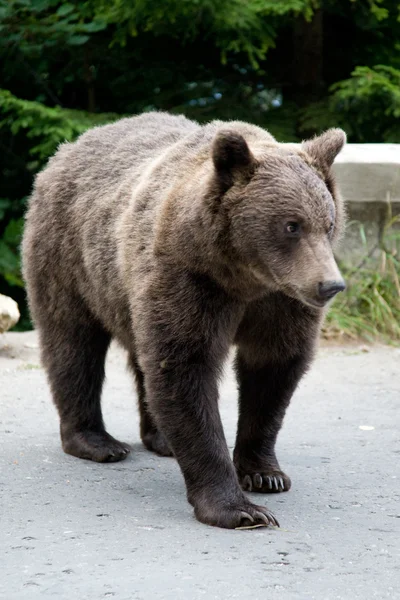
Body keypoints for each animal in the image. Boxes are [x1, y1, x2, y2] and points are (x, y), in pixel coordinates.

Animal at [22, 111, 346, 528]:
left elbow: (273, 370)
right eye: (291, 225)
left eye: (328, 222)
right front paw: (239, 509)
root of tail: (69, 147)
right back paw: (97, 441)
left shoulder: (279, 302)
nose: (330, 285)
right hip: (68, 259)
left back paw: (160, 438)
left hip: (124, 291)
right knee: (73, 345)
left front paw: (265, 473)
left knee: (140, 356)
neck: (244, 277)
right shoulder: (191, 279)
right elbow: (185, 368)